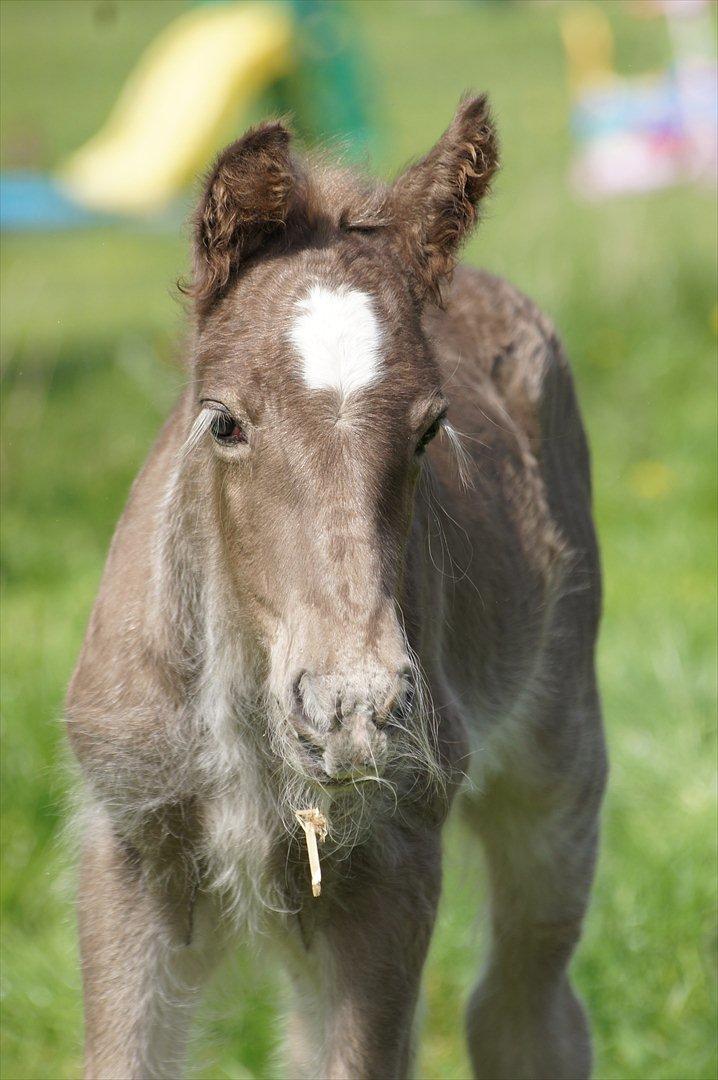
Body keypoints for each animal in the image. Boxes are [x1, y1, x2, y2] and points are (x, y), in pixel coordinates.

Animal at [67, 97, 604, 1075]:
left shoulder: (390, 867)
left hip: (559, 768)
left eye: (431, 429)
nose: (354, 708)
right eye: (224, 422)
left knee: (523, 1009)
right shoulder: (126, 848)